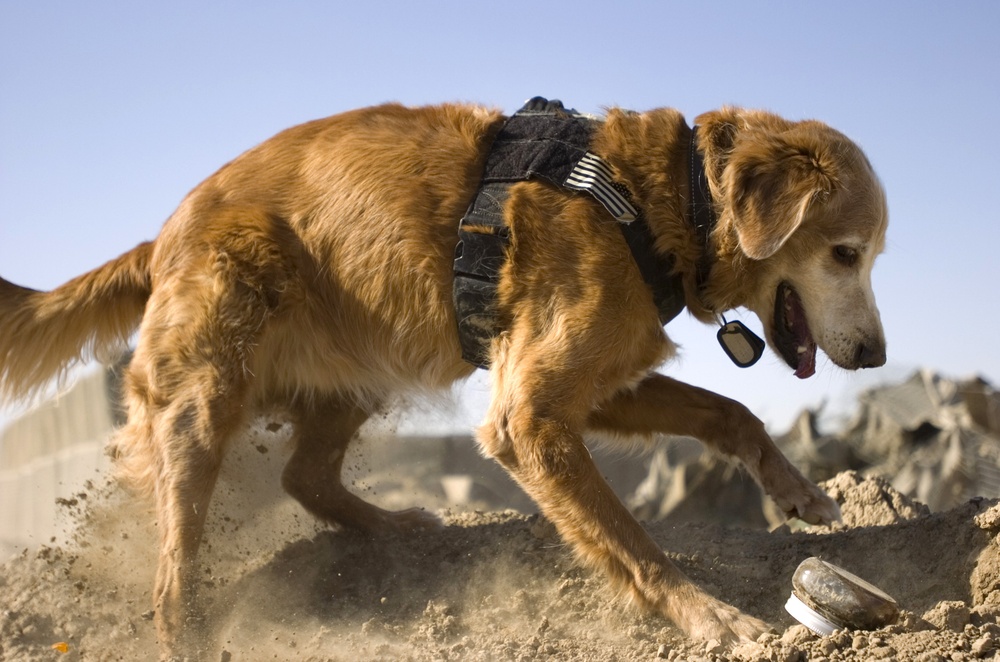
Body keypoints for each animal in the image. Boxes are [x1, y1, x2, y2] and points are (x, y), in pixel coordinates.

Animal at [0, 100, 892, 660]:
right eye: (846, 253)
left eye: (870, 254)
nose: (879, 357)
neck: (661, 198)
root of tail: (161, 235)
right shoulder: (528, 417)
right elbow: (634, 544)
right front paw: (710, 617)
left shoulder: (599, 383)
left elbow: (730, 410)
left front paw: (800, 492)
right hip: (206, 392)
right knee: (174, 560)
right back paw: (184, 629)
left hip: (351, 375)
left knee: (304, 473)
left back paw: (396, 525)